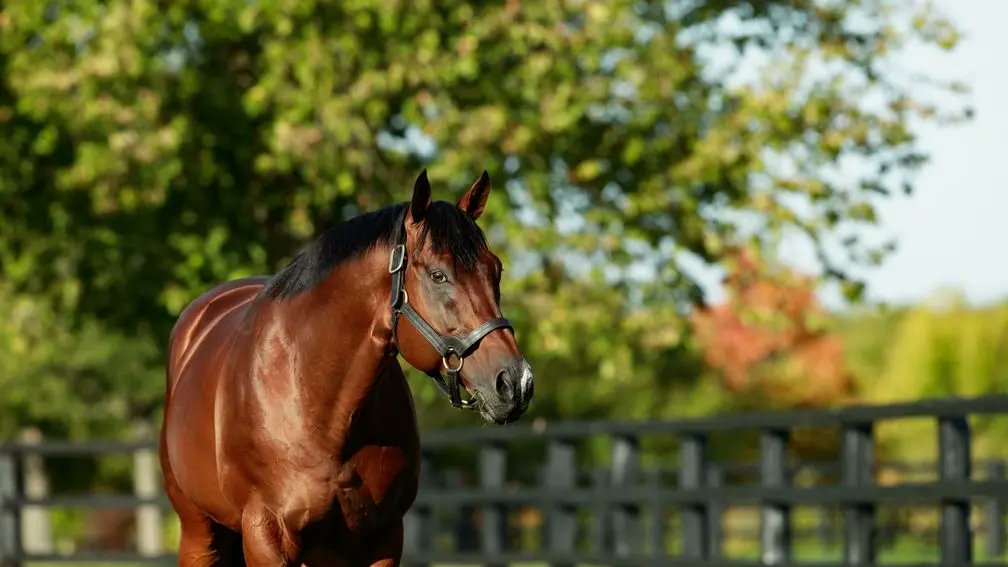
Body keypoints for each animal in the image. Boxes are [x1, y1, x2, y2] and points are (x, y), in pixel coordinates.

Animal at [158, 168, 536, 564]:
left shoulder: (383, 536)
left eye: (496, 269)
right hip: (199, 533)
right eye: (438, 275)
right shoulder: (265, 535)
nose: (516, 382)